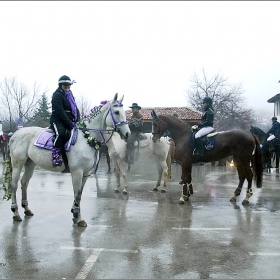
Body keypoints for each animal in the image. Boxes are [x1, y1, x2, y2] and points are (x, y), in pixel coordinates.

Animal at [5, 93, 130, 228]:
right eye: (116, 112)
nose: (128, 134)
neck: (87, 138)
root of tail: (14, 134)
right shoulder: (77, 172)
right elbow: (77, 193)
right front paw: (78, 218)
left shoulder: (86, 173)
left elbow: (79, 193)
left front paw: (75, 215)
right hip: (17, 164)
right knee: (14, 185)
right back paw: (15, 212)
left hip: (30, 164)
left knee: (24, 183)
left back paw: (26, 209)